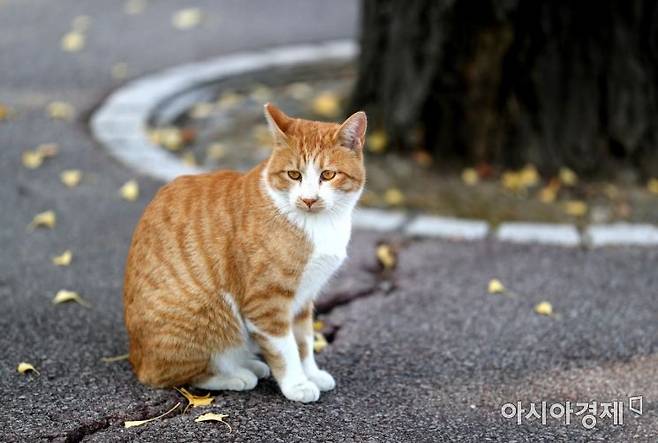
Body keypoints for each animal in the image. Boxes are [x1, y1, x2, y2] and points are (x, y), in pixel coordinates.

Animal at [124, 103, 364, 402]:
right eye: (294, 175)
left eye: (328, 175)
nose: (308, 199)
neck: (317, 224)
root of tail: (137, 359)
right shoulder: (266, 303)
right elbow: (286, 349)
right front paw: (297, 384)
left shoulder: (304, 298)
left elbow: (304, 341)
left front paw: (312, 373)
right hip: (208, 318)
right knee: (182, 375)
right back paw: (235, 375)